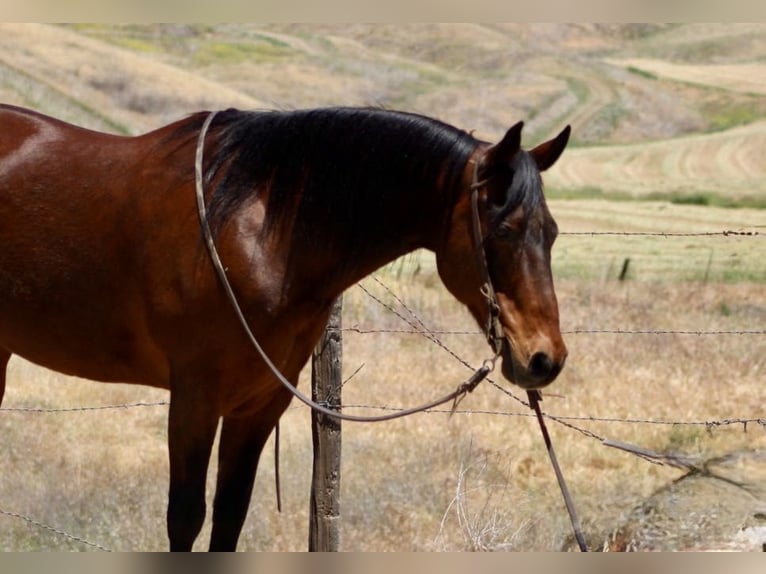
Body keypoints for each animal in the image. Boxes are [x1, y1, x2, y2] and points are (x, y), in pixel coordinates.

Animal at [0, 104, 569, 551]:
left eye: (552, 232)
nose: (546, 358)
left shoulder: (259, 404)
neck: (262, 233)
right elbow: (185, 518)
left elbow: (229, 516)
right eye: (504, 229)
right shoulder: (194, 400)